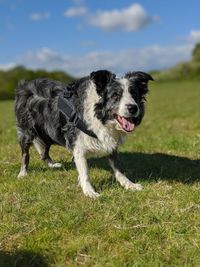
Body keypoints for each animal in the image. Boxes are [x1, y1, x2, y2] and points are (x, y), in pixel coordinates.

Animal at [14, 70, 153, 198]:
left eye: (134, 94)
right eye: (115, 96)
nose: (133, 108)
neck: (99, 116)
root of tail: (25, 85)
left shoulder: (109, 141)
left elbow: (118, 167)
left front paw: (129, 185)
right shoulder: (78, 145)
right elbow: (84, 172)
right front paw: (89, 192)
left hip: (49, 132)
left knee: (44, 153)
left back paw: (52, 165)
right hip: (27, 131)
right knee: (26, 154)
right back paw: (22, 173)